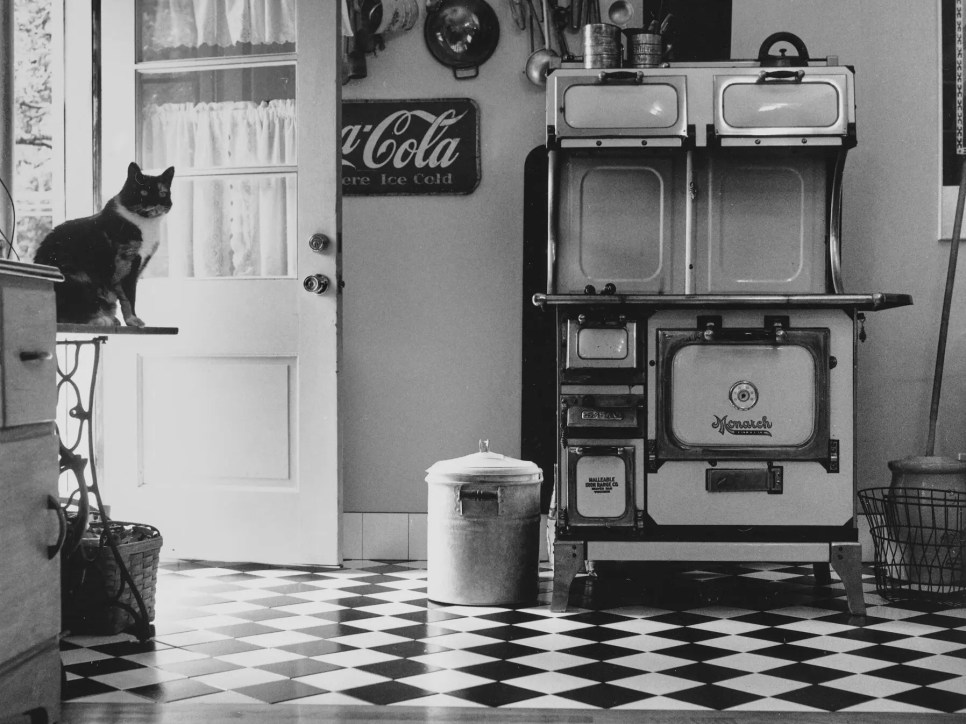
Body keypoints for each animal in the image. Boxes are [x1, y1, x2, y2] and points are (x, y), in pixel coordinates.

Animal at [32, 163, 175, 326]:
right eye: (143, 192)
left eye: (162, 193)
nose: (156, 203)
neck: (146, 224)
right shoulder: (126, 262)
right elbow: (129, 296)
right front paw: (132, 320)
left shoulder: (140, 264)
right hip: (77, 279)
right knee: (65, 315)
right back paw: (101, 319)